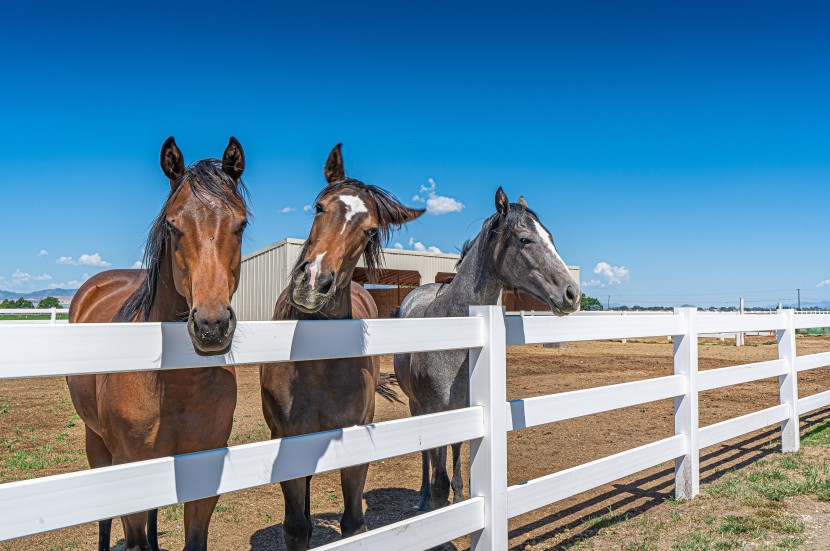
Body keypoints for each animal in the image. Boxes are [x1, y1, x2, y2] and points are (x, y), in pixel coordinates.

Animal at [67, 138, 250, 551]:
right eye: (172, 223)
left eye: (241, 224)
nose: (212, 326)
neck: (175, 382)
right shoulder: (131, 467)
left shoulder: (204, 470)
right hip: (96, 443)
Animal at [260, 144, 426, 548]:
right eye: (319, 207)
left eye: (370, 231)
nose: (313, 282)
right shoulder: (288, 440)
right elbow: (296, 527)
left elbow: (353, 523)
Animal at [394, 188, 580, 512]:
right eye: (525, 239)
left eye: (550, 237)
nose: (573, 293)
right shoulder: (434, 411)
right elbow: (438, 473)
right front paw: (436, 501)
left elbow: (456, 463)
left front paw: (459, 497)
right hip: (416, 406)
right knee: (427, 455)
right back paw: (423, 497)